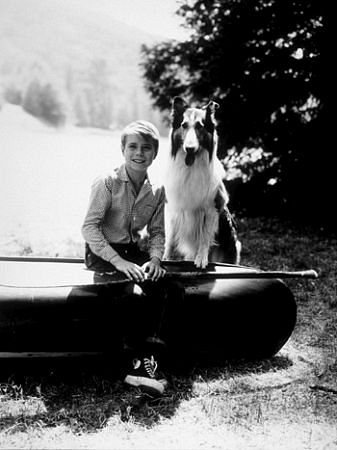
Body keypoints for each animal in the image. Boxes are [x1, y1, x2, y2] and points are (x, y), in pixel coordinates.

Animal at [162, 96, 239, 268]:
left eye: (199, 126)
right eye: (184, 125)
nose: (189, 148)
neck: (191, 169)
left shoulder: (212, 208)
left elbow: (204, 237)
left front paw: (201, 258)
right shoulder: (173, 208)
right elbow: (170, 239)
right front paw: (165, 258)